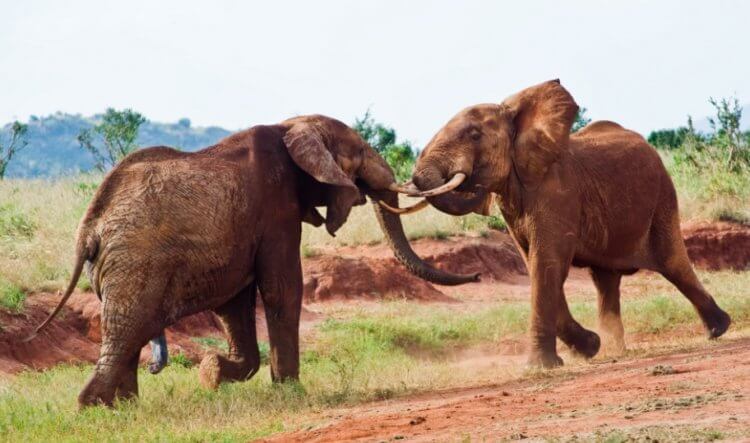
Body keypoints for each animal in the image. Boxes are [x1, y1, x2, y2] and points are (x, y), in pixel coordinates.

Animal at [33, 115, 476, 410]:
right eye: (361, 152)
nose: (475, 274)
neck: (292, 126)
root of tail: (89, 228)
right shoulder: (276, 207)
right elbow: (282, 289)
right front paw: (290, 392)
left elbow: (235, 304)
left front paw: (213, 372)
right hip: (135, 263)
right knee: (128, 328)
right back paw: (95, 408)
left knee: (129, 332)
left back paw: (124, 408)